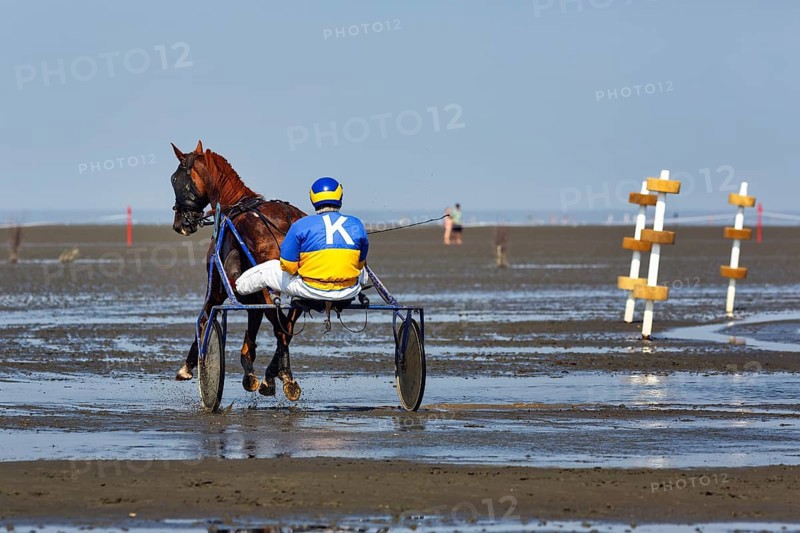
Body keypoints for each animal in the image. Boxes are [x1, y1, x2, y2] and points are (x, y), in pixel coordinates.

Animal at [170, 140, 306, 401]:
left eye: (174, 179)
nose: (179, 224)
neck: (233, 207)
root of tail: (287, 219)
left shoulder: (217, 287)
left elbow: (204, 318)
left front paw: (189, 366)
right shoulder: (251, 294)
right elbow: (252, 331)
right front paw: (253, 372)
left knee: (281, 329)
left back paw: (286, 376)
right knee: (286, 327)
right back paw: (276, 374)